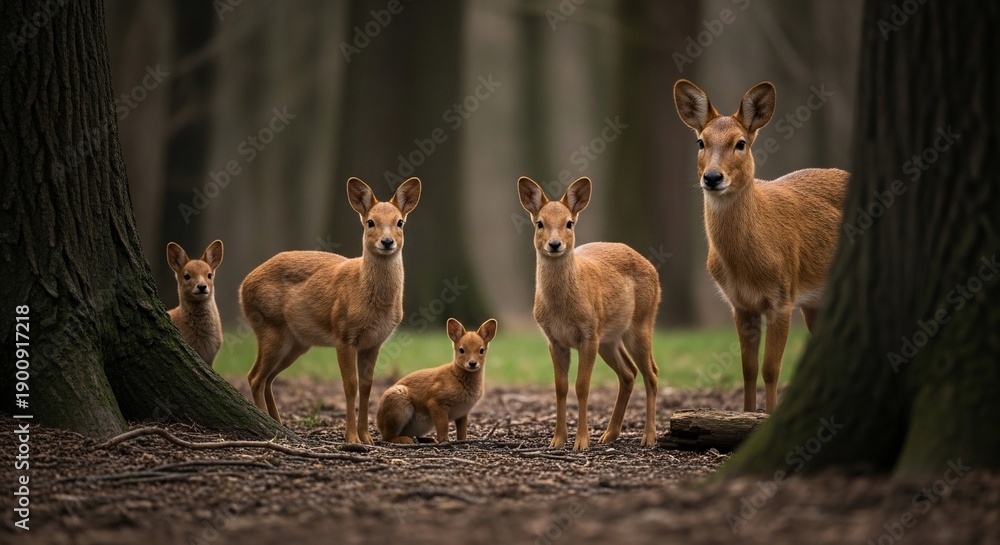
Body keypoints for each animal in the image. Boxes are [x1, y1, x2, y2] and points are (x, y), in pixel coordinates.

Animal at [240, 177, 421, 443]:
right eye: (370, 222)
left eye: (400, 222)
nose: (387, 242)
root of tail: (243, 285)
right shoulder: (343, 334)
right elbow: (350, 385)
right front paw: (352, 438)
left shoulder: (373, 342)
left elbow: (367, 386)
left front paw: (367, 437)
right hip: (269, 327)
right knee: (255, 377)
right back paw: (268, 426)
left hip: (297, 343)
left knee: (269, 378)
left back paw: (280, 423)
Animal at [517, 176, 661, 451]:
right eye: (540, 223)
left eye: (569, 223)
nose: (554, 244)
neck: (561, 309)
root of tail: (652, 267)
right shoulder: (555, 340)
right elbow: (560, 388)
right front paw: (557, 440)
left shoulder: (588, 334)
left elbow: (582, 386)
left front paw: (581, 442)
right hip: (608, 339)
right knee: (629, 373)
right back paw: (609, 434)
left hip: (641, 323)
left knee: (652, 374)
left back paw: (649, 437)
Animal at [673, 80, 848, 413]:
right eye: (700, 142)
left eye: (740, 143)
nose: (712, 177)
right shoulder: (740, 304)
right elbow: (748, 368)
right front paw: (746, 413)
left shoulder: (782, 297)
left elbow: (771, 368)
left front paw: (768, 415)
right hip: (815, 303)